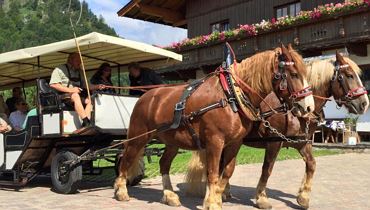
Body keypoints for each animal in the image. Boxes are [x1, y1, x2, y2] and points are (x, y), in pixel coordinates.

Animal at [114, 44, 314, 208]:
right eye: (294, 74)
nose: (309, 107)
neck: (231, 95)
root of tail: (146, 96)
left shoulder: (235, 143)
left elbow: (227, 171)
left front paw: (217, 197)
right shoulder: (215, 141)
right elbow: (213, 172)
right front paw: (213, 202)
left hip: (172, 141)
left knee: (164, 163)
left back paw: (169, 195)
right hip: (138, 137)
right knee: (126, 159)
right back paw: (121, 190)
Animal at [186, 50, 368, 208]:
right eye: (349, 75)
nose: (364, 104)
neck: (292, 110)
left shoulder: (302, 142)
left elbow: (311, 164)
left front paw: (303, 197)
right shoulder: (274, 142)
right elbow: (267, 169)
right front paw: (261, 198)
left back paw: (223, 192)